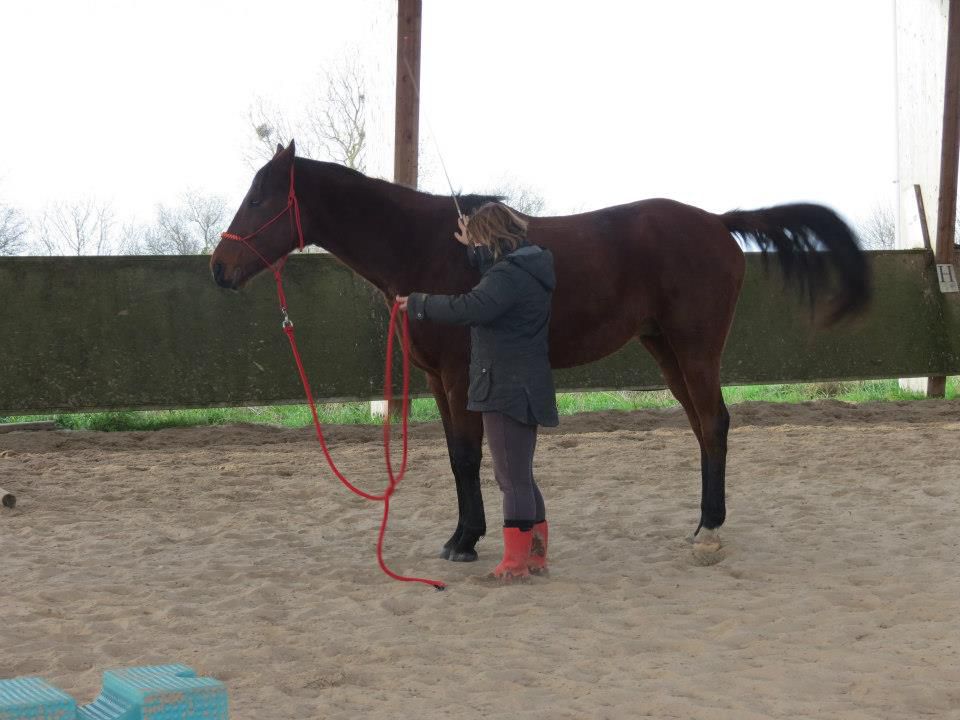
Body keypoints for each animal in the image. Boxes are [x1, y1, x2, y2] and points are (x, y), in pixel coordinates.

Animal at [211, 140, 869, 563]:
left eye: (259, 200)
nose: (219, 267)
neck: (430, 248)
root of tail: (717, 221)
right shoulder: (436, 382)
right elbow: (456, 457)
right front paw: (463, 535)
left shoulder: (460, 376)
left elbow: (466, 456)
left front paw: (465, 541)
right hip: (665, 350)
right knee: (703, 427)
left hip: (695, 348)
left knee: (713, 423)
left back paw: (707, 530)